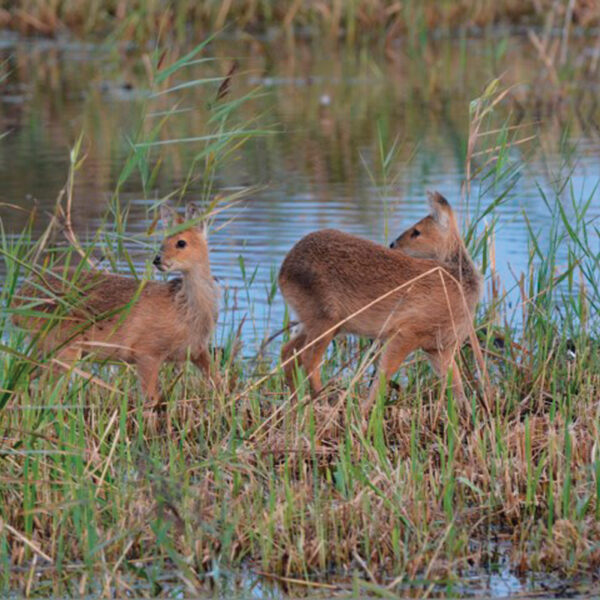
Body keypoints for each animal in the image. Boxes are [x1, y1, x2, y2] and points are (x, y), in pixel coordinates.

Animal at [12, 204, 220, 406]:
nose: (157, 259)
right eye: (164, 240)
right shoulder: (147, 351)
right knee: (45, 392)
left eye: (181, 242)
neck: (186, 312)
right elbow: (150, 401)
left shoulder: (198, 350)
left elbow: (216, 381)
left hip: (45, 347)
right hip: (62, 347)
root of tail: (18, 300)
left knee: (26, 379)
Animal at [278, 192, 482, 418]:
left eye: (417, 231)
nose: (393, 244)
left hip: (316, 321)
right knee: (309, 360)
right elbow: (383, 376)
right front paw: (363, 412)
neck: (460, 282)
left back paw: (296, 405)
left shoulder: (439, 347)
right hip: (326, 320)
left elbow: (456, 384)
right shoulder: (406, 333)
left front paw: (469, 415)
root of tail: (284, 269)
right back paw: (324, 404)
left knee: (288, 353)